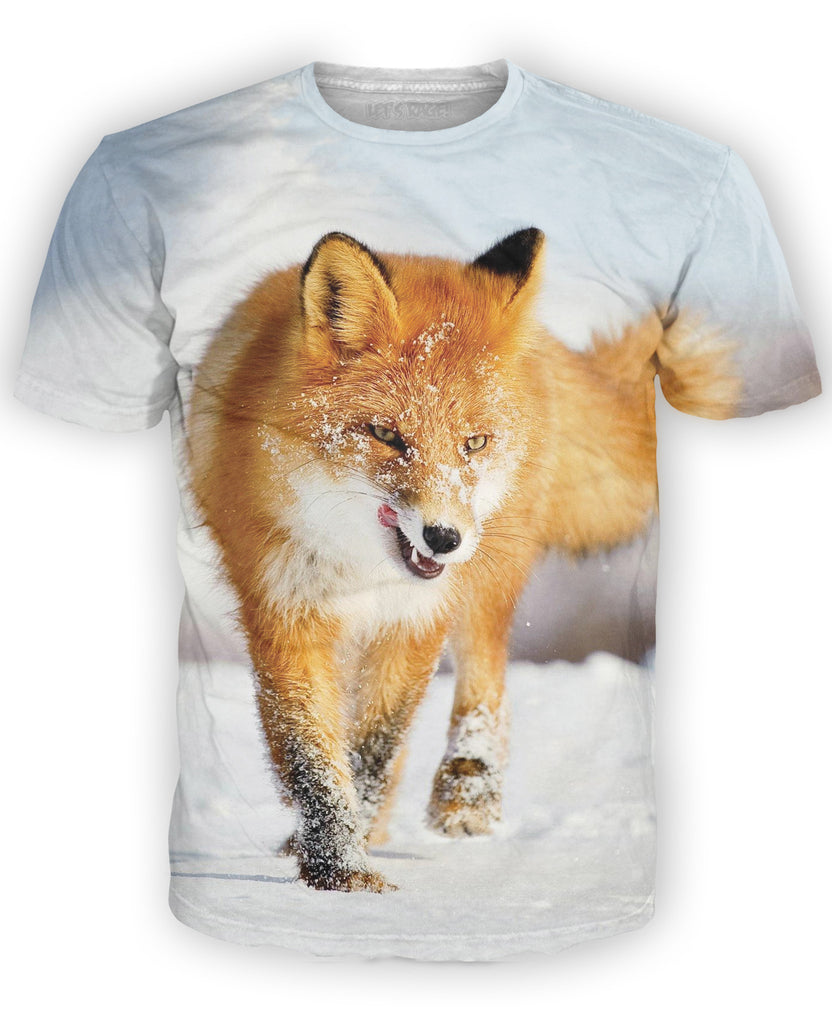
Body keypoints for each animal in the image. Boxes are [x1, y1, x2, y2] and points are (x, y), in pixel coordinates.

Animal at [186, 227, 741, 893]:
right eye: (387, 435)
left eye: (473, 443)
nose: (443, 537)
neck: (361, 573)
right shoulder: (284, 611)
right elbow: (314, 758)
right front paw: (340, 872)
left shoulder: (416, 618)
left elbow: (374, 746)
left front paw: (347, 867)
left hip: (486, 580)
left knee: (486, 683)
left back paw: (468, 794)